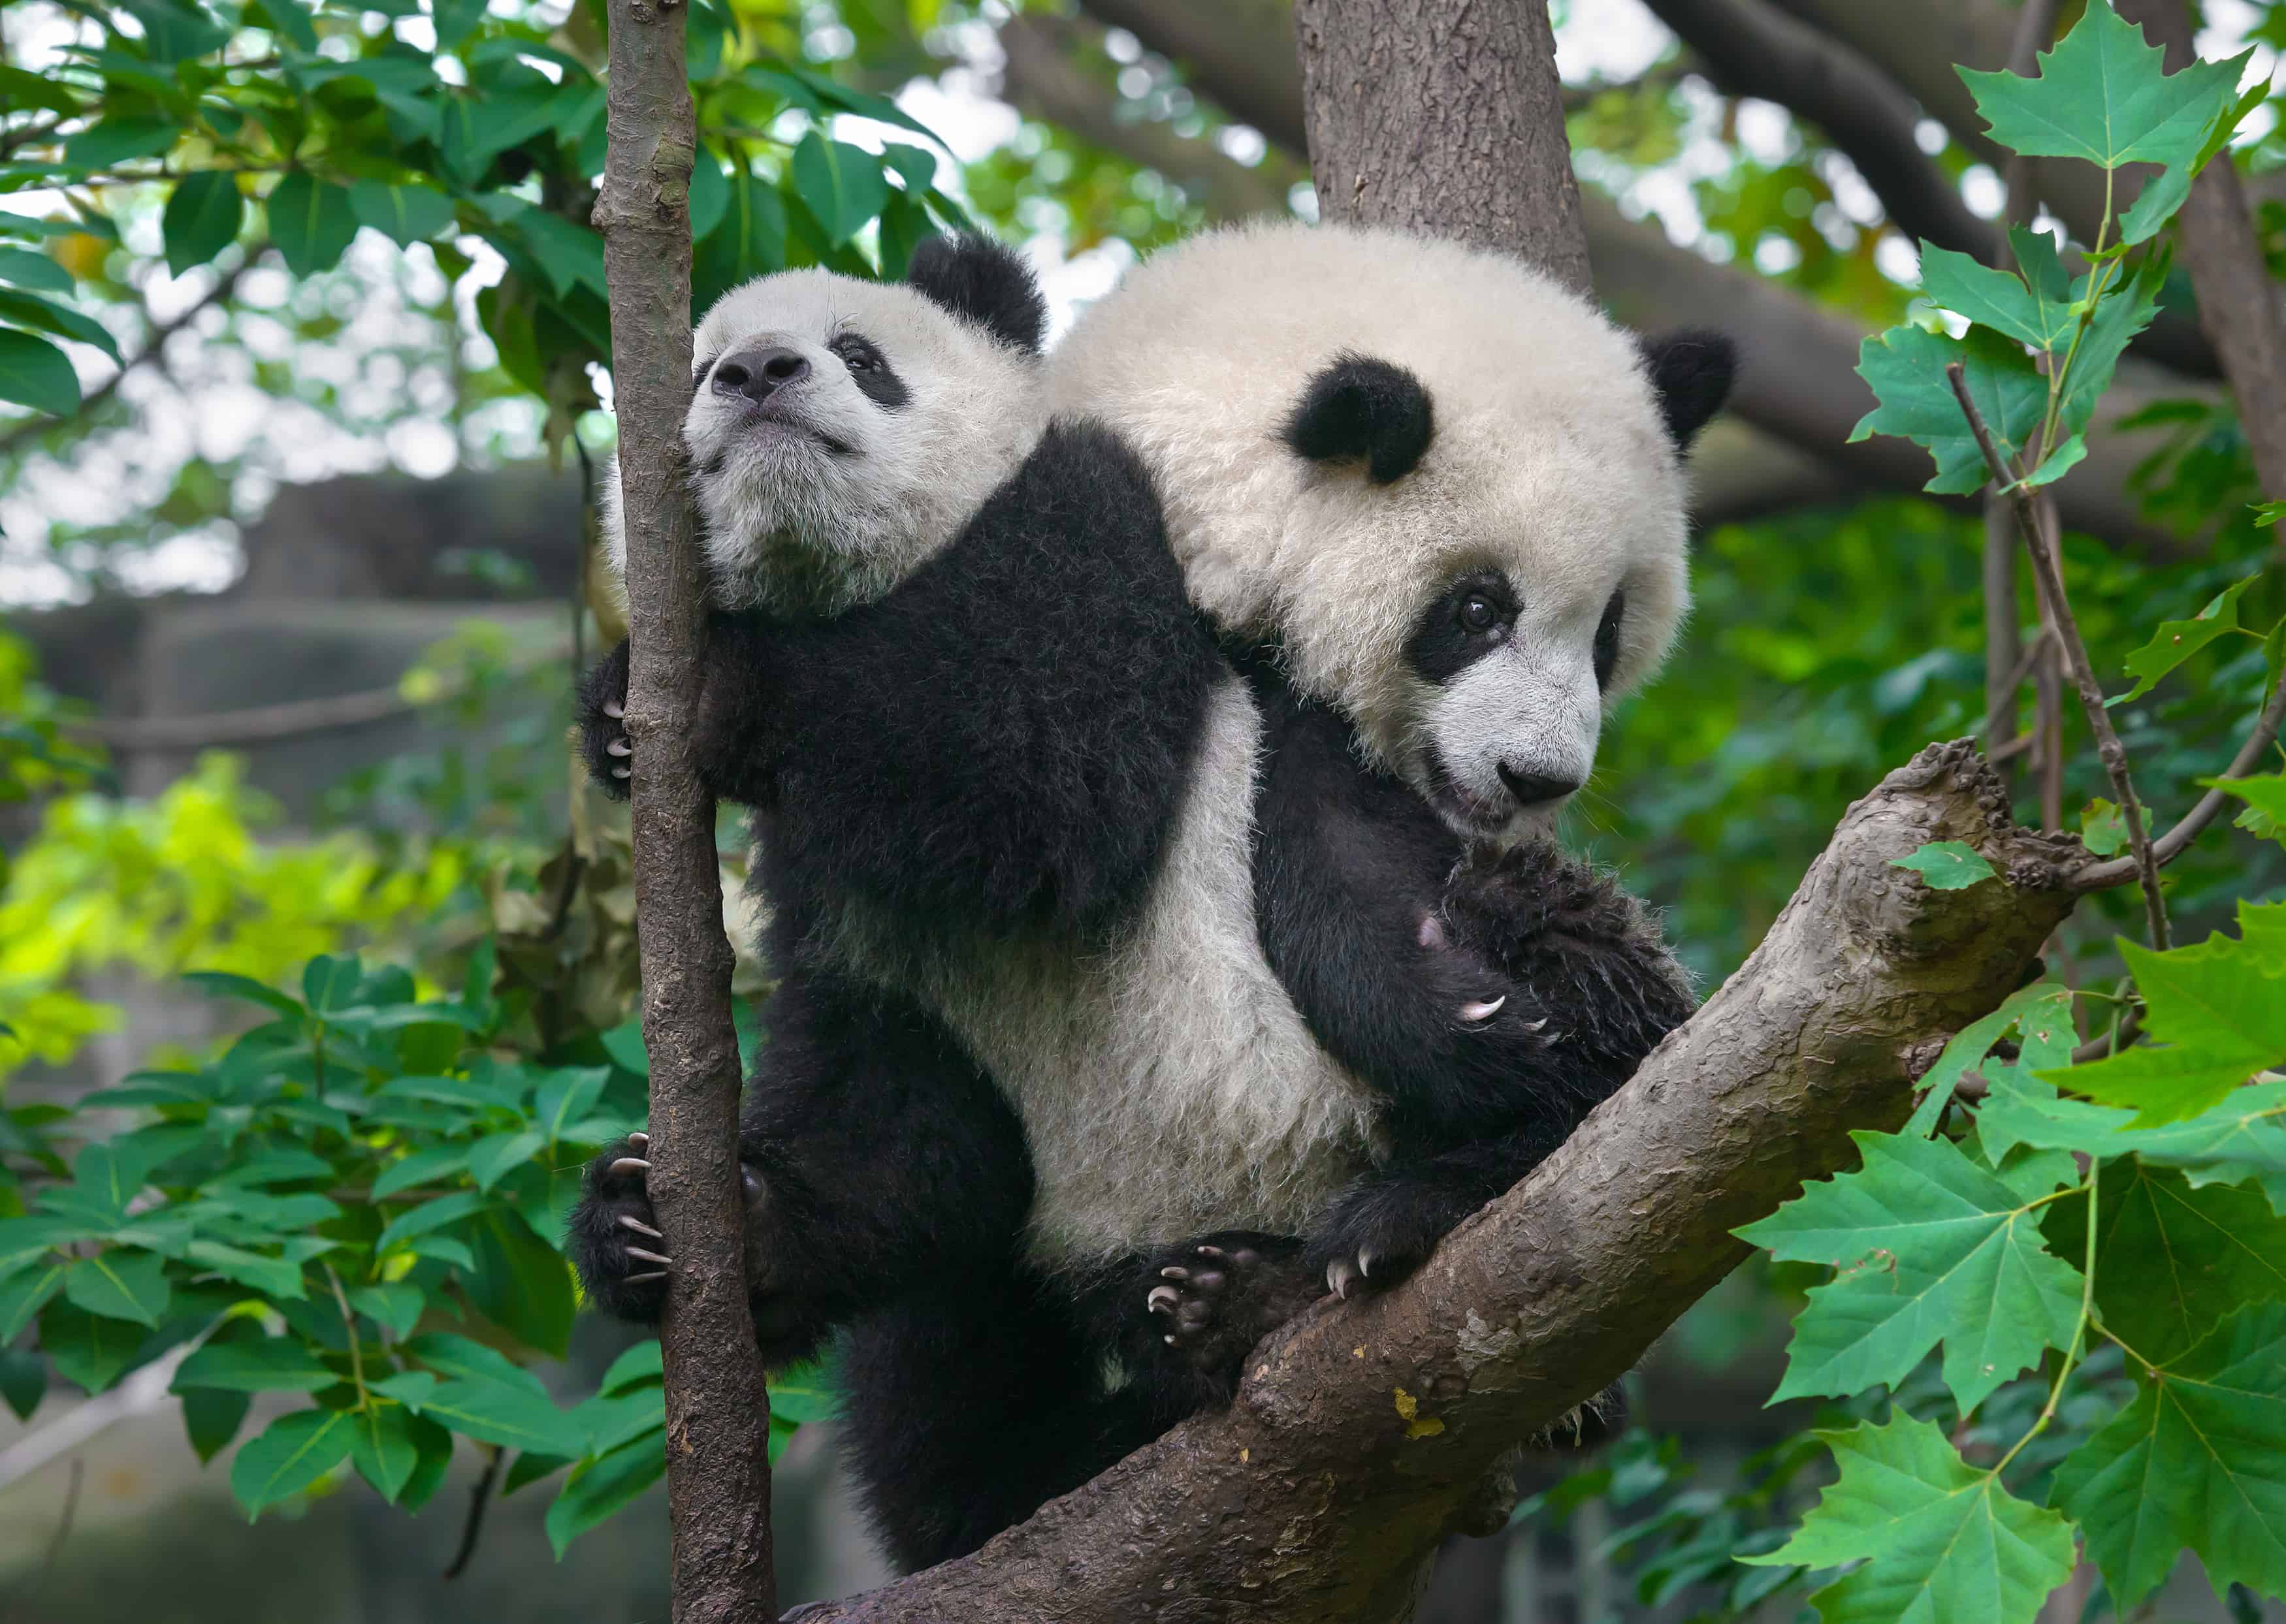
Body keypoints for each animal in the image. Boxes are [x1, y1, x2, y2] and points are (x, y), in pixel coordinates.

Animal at [572, 223, 1728, 1571]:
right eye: (699, 365)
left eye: (862, 357)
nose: (757, 372)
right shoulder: (881, 938)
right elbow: (902, 1128)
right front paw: (669, 1219)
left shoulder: (1108, 573)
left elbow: (1038, 772)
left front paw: (718, 690)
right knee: (945, 1365)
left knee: (1578, 985)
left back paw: (1357, 1241)